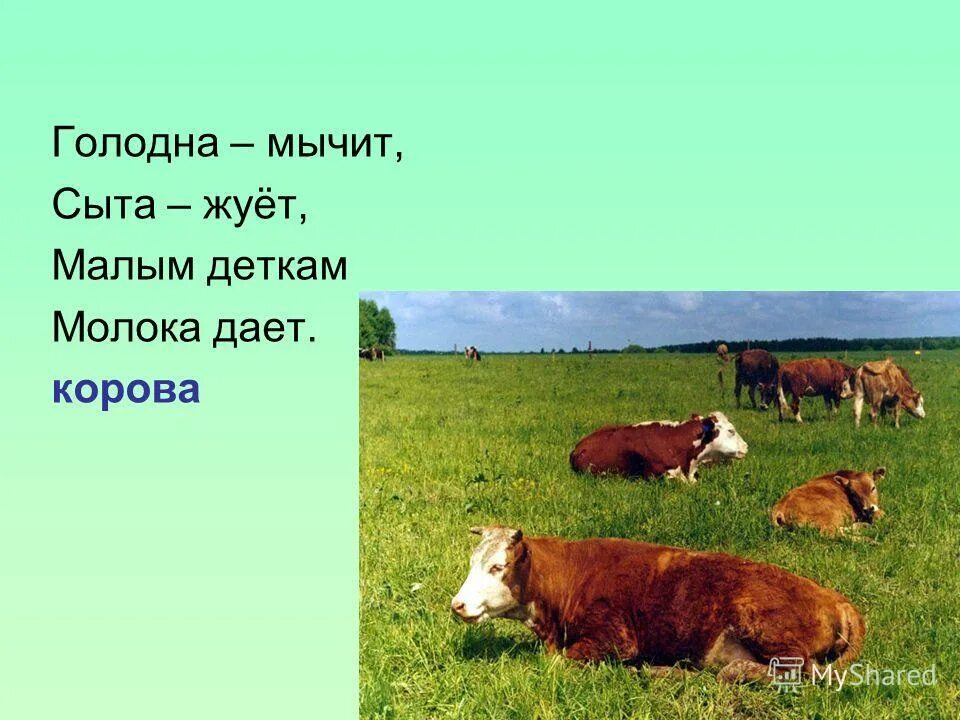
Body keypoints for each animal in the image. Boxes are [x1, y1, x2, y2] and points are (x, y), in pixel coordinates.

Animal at [451, 526, 865, 683]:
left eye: (497, 566)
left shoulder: (614, 638)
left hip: (768, 629)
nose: (457, 604)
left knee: (798, 672)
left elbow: (560, 661)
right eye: (472, 562)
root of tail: (834, 597)